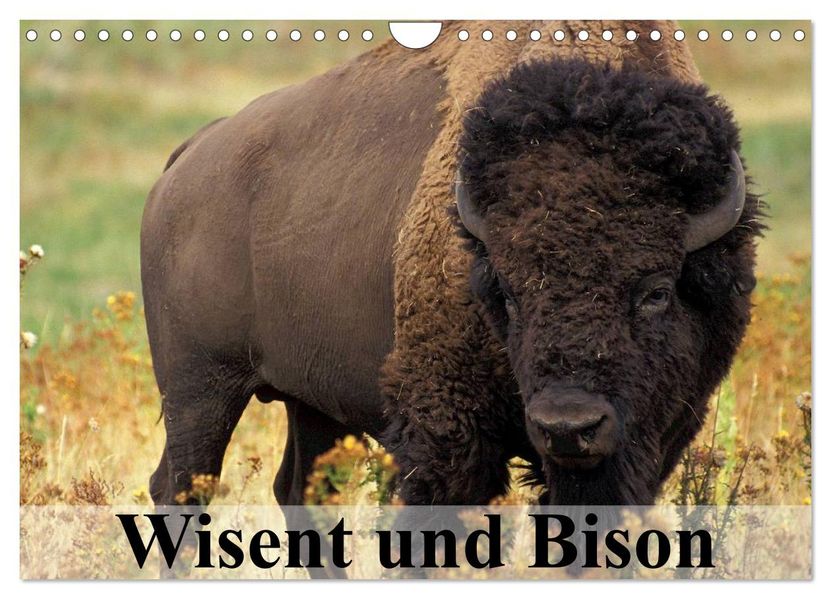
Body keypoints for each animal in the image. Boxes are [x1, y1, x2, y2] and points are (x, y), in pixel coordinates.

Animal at [141, 20, 761, 512]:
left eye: (657, 291)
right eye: (506, 292)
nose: (568, 426)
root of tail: (187, 158)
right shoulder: (444, 434)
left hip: (310, 400)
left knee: (301, 491)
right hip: (199, 387)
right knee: (179, 486)